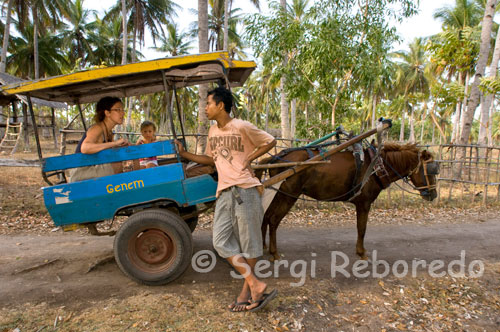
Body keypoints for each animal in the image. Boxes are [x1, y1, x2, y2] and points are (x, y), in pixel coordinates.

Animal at [258, 141, 438, 260]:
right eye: (430, 170)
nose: (434, 194)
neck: (377, 167)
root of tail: (276, 157)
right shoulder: (364, 203)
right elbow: (362, 228)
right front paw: (362, 252)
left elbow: (360, 228)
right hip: (288, 194)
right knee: (273, 219)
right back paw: (274, 253)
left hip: (278, 193)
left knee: (266, 216)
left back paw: (264, 246)